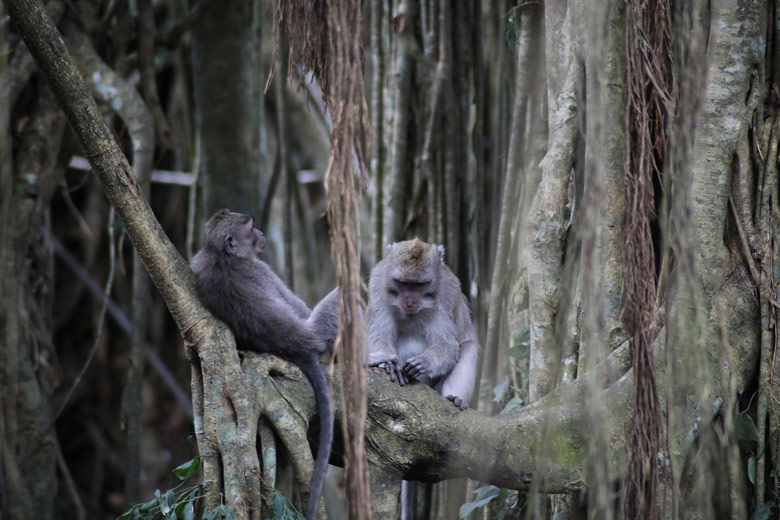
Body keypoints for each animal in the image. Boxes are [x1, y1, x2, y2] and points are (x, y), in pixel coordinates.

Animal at [190, 209, 336, 516]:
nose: (261, 234)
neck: (222, 257)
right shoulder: (263, 271)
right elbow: (300, 309)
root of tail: (303, 349)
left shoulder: (197, 263)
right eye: (250, 228)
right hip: (323, 330)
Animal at [368, 238, 482, 408]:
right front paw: (389, 363)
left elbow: (447, 344)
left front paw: (425, 362)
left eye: (419, 284)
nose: (409, 303)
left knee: (469, 347)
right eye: (402, 283)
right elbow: (378, 336)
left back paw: (454, 398)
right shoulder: (378, 286)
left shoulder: (445, 295)